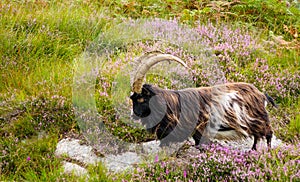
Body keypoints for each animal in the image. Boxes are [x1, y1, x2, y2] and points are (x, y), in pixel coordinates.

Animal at [129, 51, 276, 151]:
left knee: (268, 134)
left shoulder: (198, 129)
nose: (133, 115)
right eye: (132, 98)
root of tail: (262, 95)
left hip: (258, 120)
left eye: (141, 98)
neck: (170, 104)